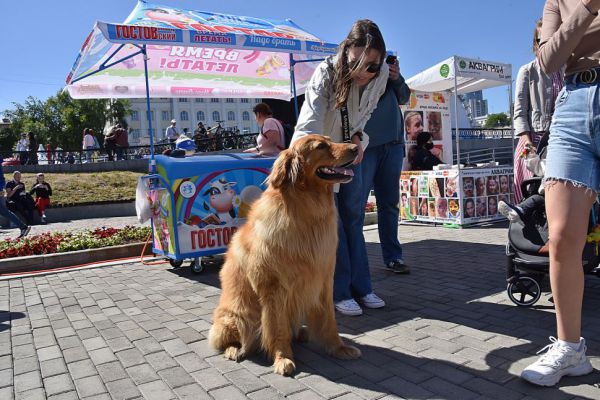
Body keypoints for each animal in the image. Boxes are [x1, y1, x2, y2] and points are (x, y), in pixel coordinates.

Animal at [209, 134, 360, 376]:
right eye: (321, 146)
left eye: (330, 140)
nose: (356, 147)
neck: (306, 210)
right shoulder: (274, 287)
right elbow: (277, 328)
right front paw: (283, 358)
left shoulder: (324, 279)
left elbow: (329, 320)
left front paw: (338, 348)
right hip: (236, 316)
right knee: (231, 338)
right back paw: (235, 349)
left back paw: (302, 333)